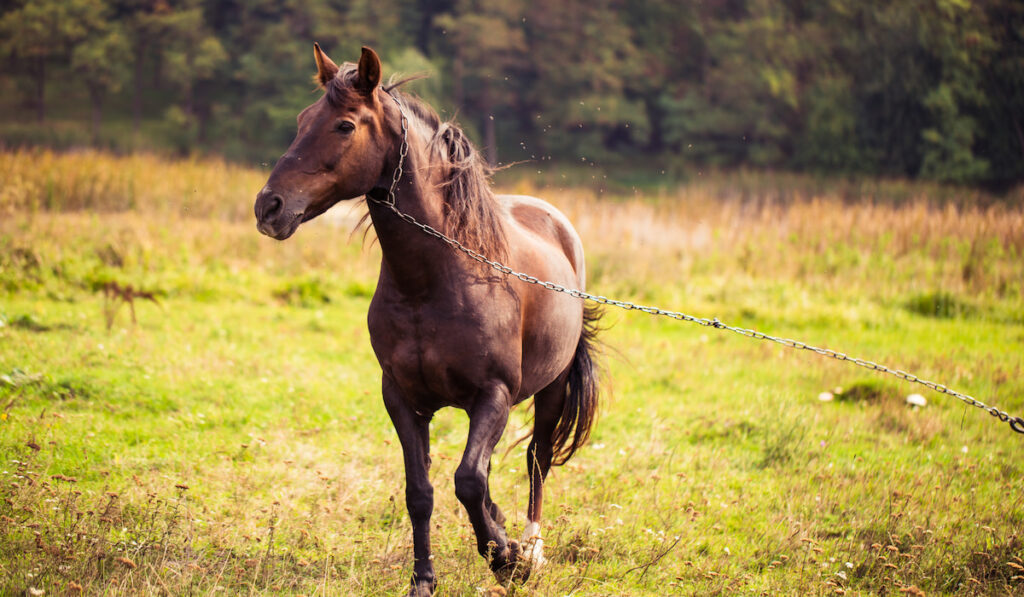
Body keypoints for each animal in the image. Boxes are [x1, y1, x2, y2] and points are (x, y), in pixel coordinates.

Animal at [254, 44, 598, 593]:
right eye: (304, 119)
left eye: (345, 125)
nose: (269, 207)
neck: (436, 280)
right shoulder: (402, 399)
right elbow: (422, 491)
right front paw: (425, 578)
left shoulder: (493, 395)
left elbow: (468, 480)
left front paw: (506, 560)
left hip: (552, 387)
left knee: (537, 460)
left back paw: (532, 548)